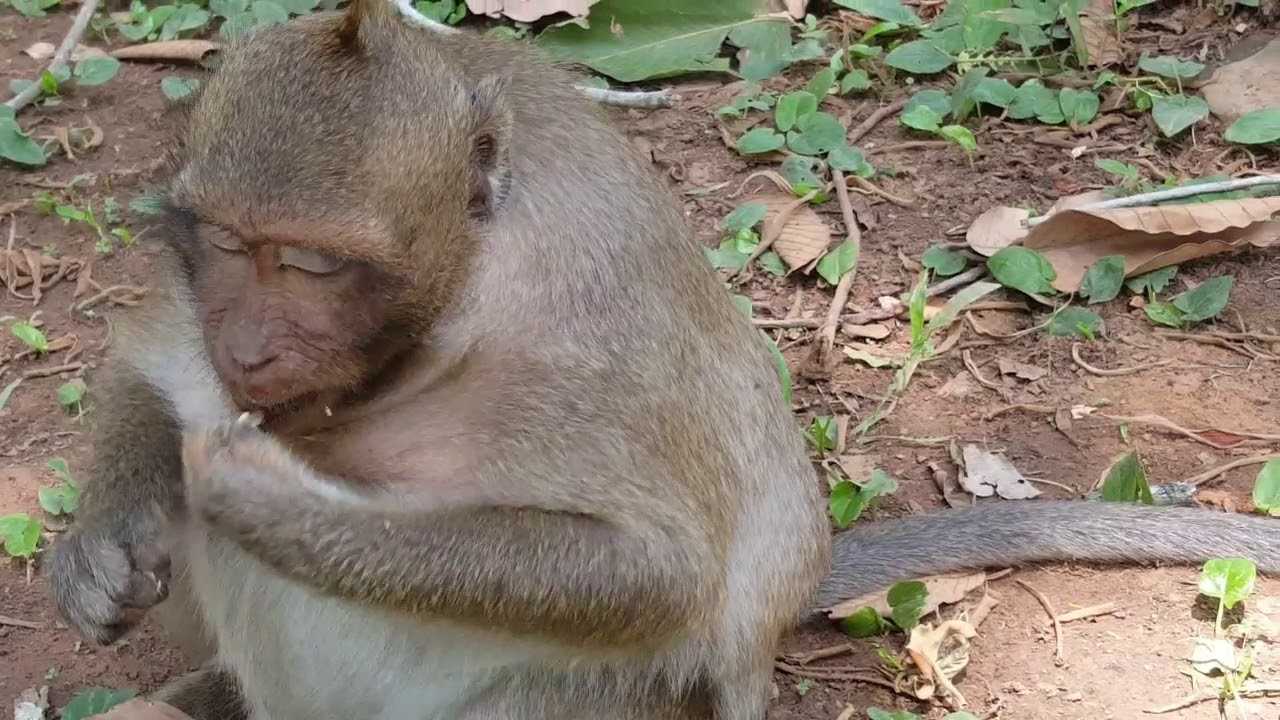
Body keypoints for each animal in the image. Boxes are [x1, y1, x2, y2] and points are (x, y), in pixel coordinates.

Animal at [44, 0, 1279, 718]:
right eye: (219, 245)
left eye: (309, 262)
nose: (248, 347)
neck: (455, 302)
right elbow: (148, 374)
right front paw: (103, 545)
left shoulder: (582, 339)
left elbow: (653, 573)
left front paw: (275, 507)